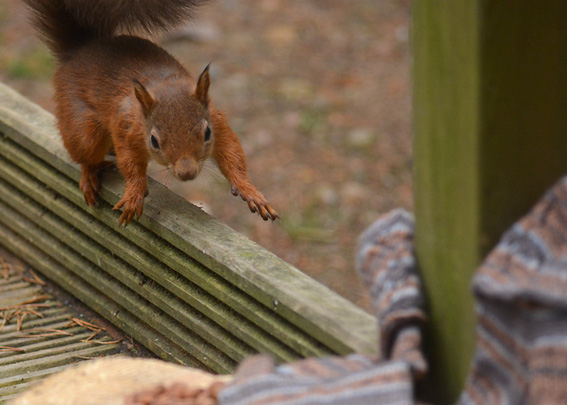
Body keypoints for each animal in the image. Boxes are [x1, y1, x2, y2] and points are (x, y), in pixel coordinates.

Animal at [24, 0, 278, 224]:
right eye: (154, 141)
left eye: (207, 134)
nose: (187, 173)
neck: (164, 86)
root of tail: (79, 52)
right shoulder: (126, 127)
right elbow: (130, 164)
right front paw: (134, 193)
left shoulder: (216, 120)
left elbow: (231, 153)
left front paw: (249, 190)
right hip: (82, 127)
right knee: (85, 153)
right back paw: (89, 175)